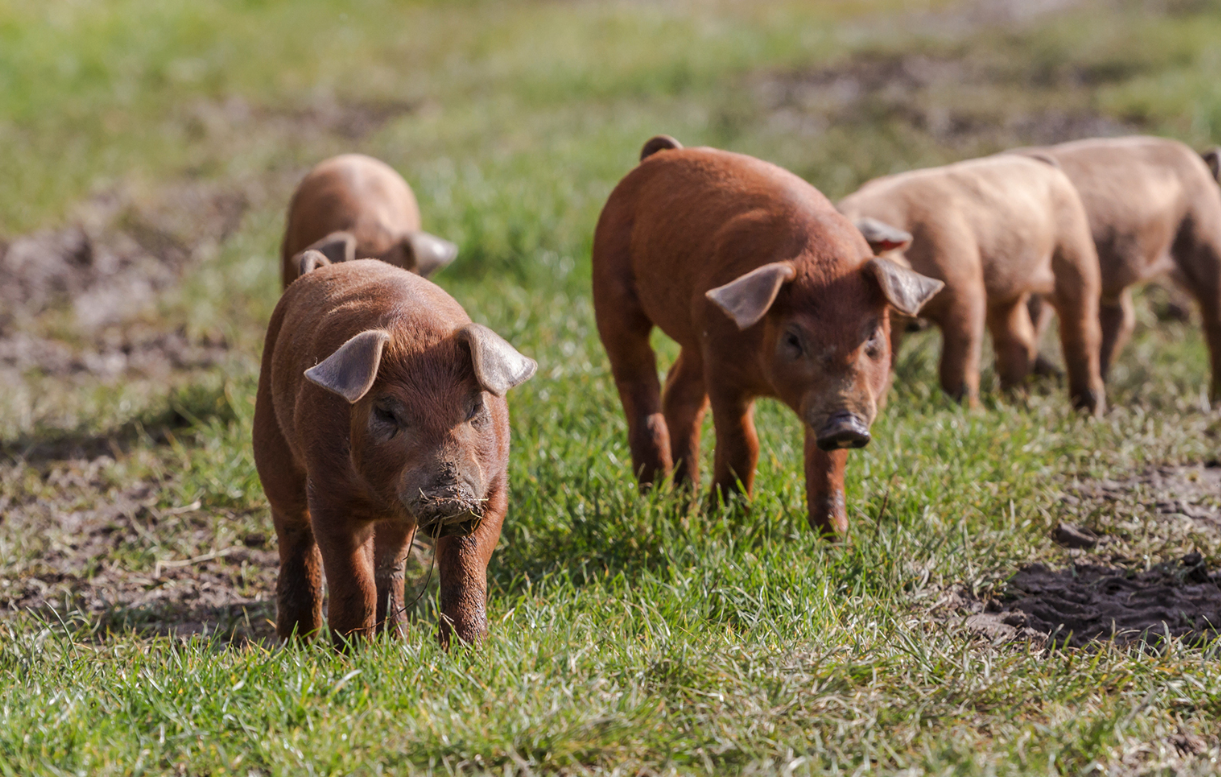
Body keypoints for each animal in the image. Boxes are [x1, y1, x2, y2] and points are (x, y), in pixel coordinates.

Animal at [252, 255, 534, 645]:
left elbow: (466, 569)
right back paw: (297, 641)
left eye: (475, 406)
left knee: (391, 560)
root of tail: (319, 268)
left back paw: (397, 639)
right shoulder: (326, 492)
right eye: (386, 412)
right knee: (294, 532)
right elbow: (353, 580)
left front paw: (467, 648)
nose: (449, 496)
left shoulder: (492, 491)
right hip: (269, 440)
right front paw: (351, 652)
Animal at [590, 136, 942, 537]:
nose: (846, 424)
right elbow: (743, 441)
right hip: (610, 288)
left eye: (871, 337)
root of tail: (665, 153)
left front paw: (835, 538)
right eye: (793, 339)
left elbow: (827, 461)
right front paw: (726, 521)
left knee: (679, 392)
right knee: (636, 381)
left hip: (696, 336)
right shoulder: (723, 369)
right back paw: (654, 493)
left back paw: (682, 502)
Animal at [840, 153, 1108, 415]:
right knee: (1017, 338)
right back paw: (1013, 404)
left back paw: (1089, 412)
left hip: (1076, 255)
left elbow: (960, 352)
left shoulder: (966, 285)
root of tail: (1044, 163)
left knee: (1082, 332)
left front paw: (964, 410)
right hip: (1007, 291)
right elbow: (886, 359)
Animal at [1015, 134, 1221, 400]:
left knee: (1212, 319)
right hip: (1115, 270)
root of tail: (1200, 162)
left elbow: (1032, 322)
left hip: (1205, 239)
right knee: (1120, 316)